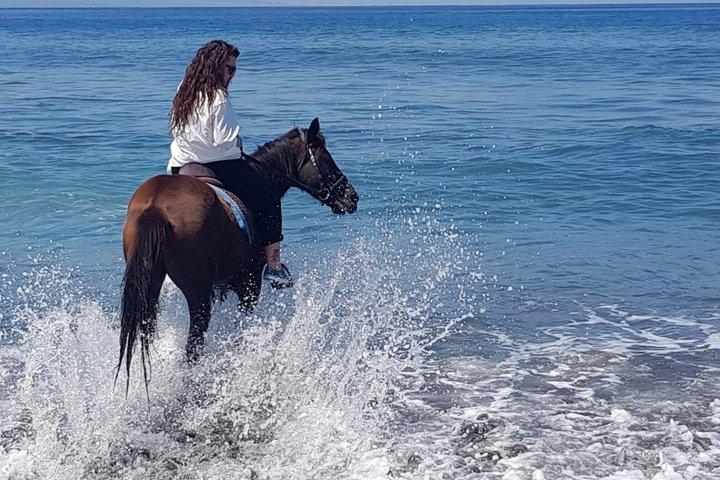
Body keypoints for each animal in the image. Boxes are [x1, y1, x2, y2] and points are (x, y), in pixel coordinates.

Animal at [117, 118, 358, 389]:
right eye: (326, 157)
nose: (352, 197)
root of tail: (156, 208)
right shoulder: (248, 285)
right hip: (198, 293)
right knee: (193, 346)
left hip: (152, 285)